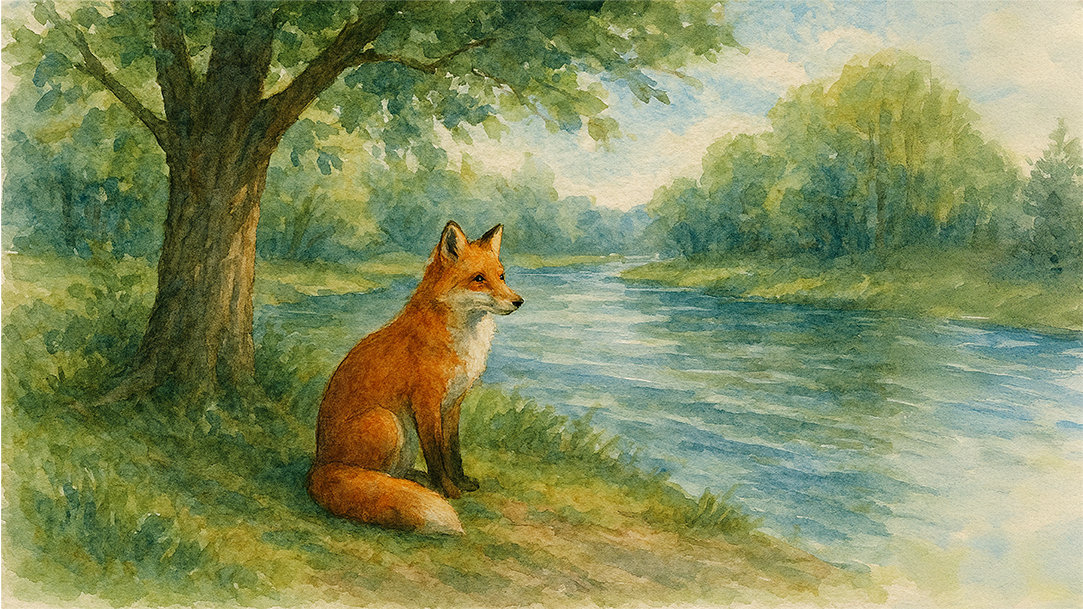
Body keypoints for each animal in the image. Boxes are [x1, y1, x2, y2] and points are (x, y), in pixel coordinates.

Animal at [307, 221, 523, 535]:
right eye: (479, 279)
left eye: (502, 276)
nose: (518, 301)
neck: (464, 340)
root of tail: (320, 464)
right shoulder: (426, 403)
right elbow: (436, 454)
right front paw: (448, 490)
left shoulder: (453, 403)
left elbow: (452, 450)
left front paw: (461, 482)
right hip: (387, 422)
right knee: (372, 478)